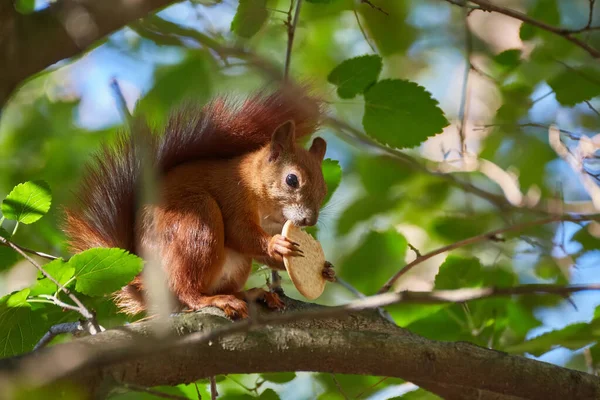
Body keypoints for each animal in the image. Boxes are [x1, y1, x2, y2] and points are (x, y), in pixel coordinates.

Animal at [63, 84, 336, 318]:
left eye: (324, 190)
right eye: (291, 179)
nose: (309, 220)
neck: (267, 208)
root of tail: (149, 286)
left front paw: (325, 268)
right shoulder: (233, 194)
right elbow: (239, 232)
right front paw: (275, 245)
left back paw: (251, 294)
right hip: (197, 221)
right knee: (187, 291)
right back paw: (213, 300)